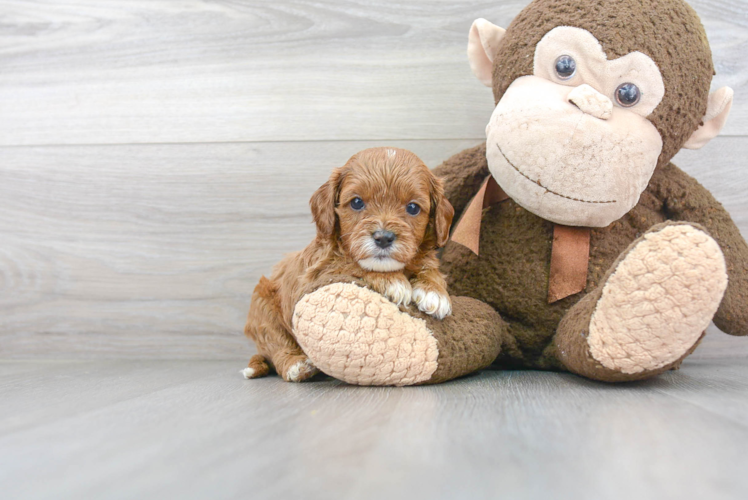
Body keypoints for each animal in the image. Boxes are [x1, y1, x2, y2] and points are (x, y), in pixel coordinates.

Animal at [244, 146, 456, 380]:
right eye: (356, 202)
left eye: (412, 208)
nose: (383, 238)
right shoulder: (318, 269)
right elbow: (351, 263)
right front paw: (393, 281)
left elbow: (429, 267)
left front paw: (434, 291)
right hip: (262, 309)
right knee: (276, 342)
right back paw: (296, 365)